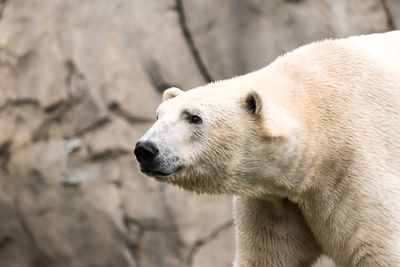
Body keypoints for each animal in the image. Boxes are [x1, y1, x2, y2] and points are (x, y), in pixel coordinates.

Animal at [134, 31, 400, 267]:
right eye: (158, 115)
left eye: (194, 117)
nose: (145, 149)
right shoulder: (273, 199)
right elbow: (267, 255)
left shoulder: (353, 169)